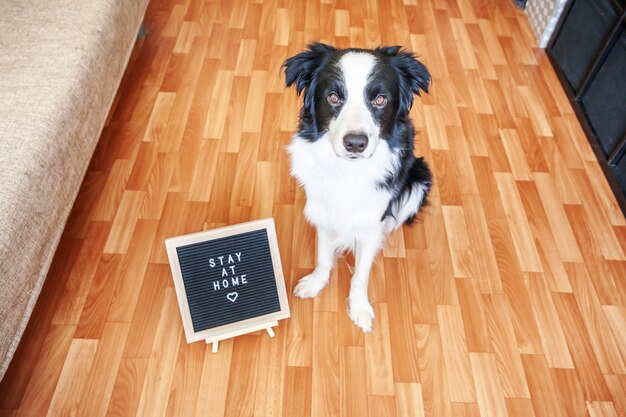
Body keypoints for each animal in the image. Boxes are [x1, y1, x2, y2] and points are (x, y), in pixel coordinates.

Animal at [282, 43, 428, 332]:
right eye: (333, 97)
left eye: (380, 100)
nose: (356, 144)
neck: (348, 172)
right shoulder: (323, 210)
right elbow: (323, 256)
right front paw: (315, 283)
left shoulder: (371, 223)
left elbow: (361, 273)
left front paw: (359, 308)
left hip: (419, 180)